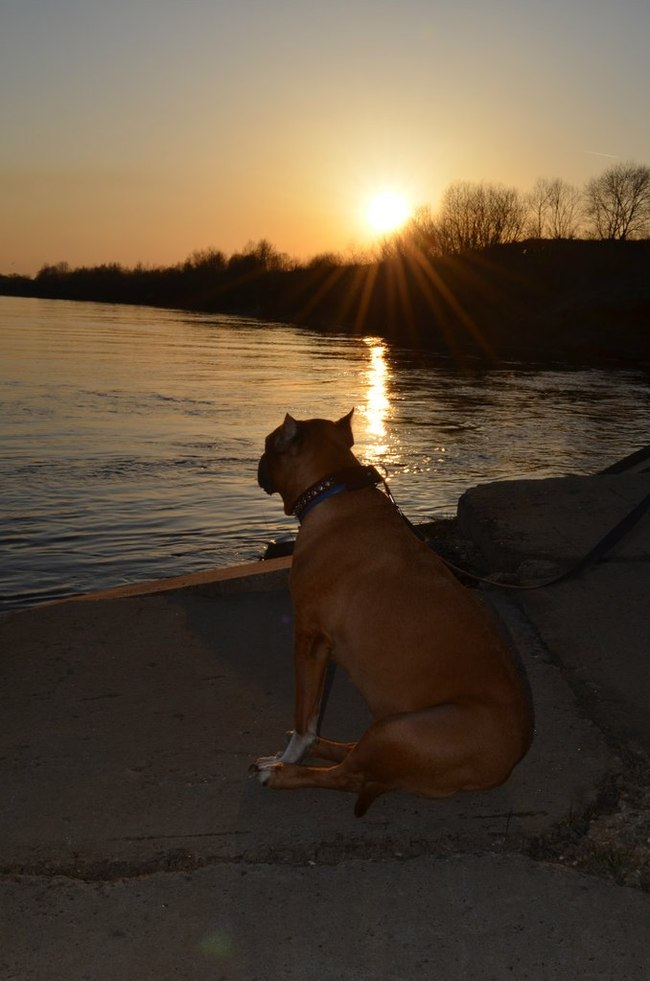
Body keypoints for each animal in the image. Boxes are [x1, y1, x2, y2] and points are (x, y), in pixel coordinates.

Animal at [253, 410, 532, 816]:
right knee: (355, 755)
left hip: (398, 731)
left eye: (268, 445)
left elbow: (305, 718)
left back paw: (281, 774)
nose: (257, 463)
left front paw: (287, 757)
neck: (335, 491)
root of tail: (505, 766)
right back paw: (325, 748)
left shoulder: (308, 640)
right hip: (388, 727)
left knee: (348, 776)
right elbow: (312, 717)